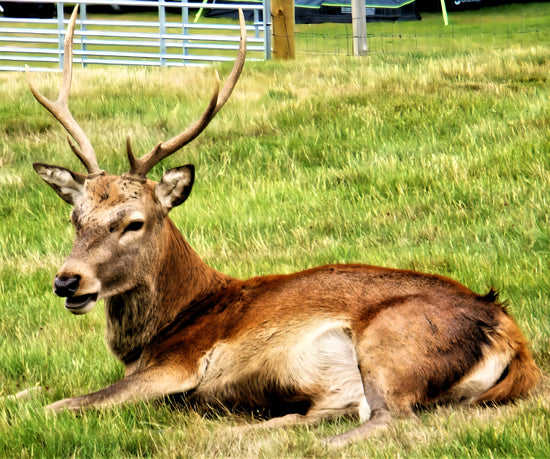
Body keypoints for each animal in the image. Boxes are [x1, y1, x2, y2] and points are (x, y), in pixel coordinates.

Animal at [28, 5, 540, 448]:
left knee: (391, 418)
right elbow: (37, 392)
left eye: (133, 223)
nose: (67, 280)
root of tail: (509, 332)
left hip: (393, 341)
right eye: (75, 218)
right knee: (329, 413)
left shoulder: (179, 364)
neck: (162, 328)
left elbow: (64, 403)